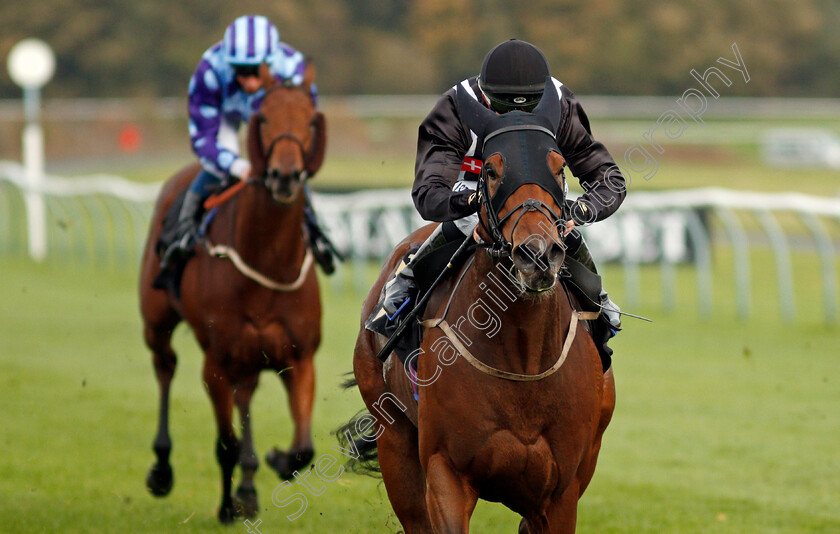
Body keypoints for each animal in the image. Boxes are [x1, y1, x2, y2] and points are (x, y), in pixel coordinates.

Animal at [138, 61, 324, 524]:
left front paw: (274, 462)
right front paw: (227, 506)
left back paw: (249, 484)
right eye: (265, 118)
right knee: (165, 366)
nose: (284, 176)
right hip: (157, 323)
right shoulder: (217, 363)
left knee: (246, 396)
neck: (266, 263)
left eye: (310, 120)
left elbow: (303, 449)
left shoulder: (300, 357)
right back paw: (163, 469)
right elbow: (226, 444)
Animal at [344, 81, 612, 532]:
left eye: (559, 167)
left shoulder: (562, 491)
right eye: (490, 170)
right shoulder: (446, 473)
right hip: (394, 440)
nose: (538, 255)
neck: (524, 359)